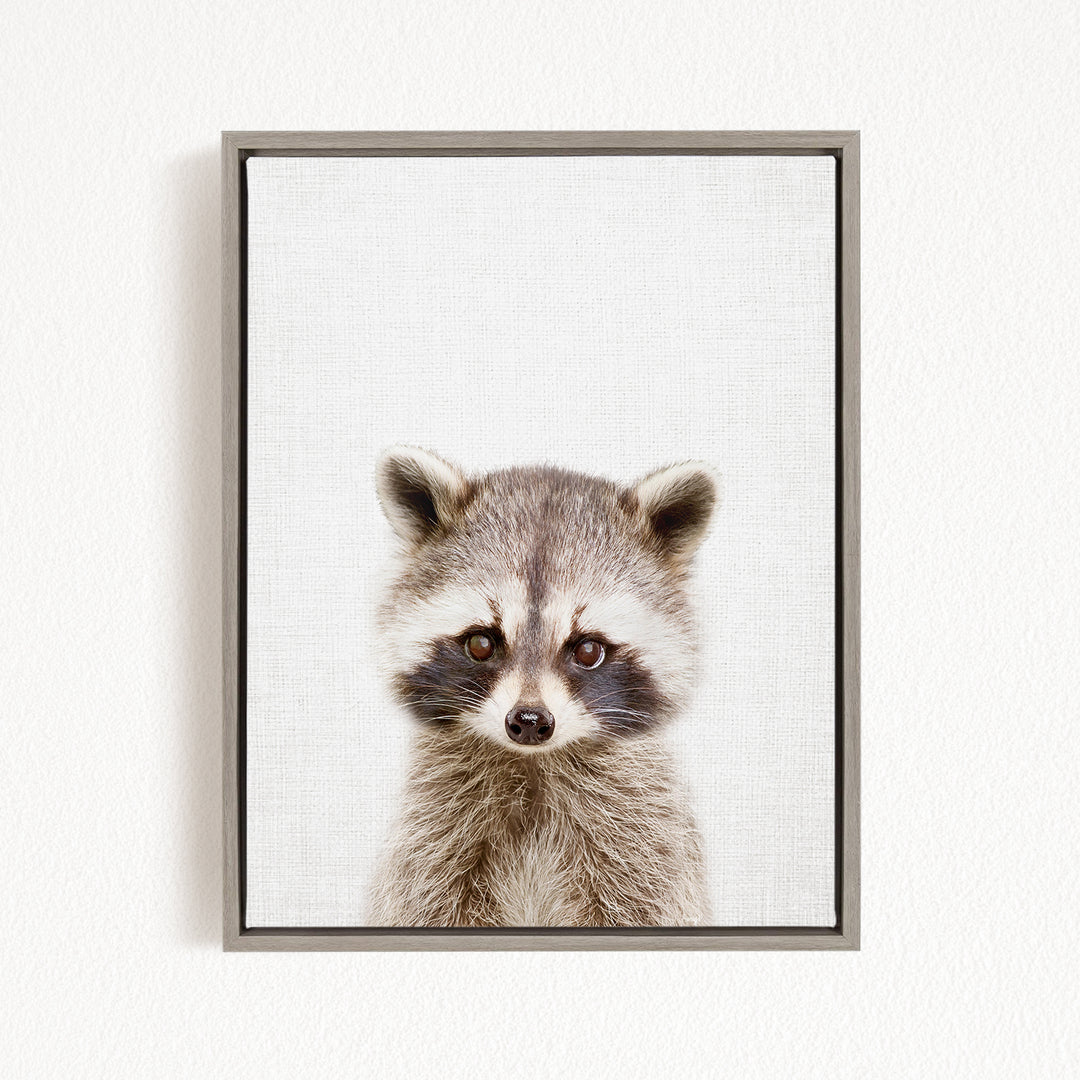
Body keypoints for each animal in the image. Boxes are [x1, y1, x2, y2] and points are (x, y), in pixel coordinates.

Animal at [366, 446, 719, 928]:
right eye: (481, 643)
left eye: (588, 650)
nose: (530, 721)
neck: (533, 765)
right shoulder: (430, 840)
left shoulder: (646, 843)